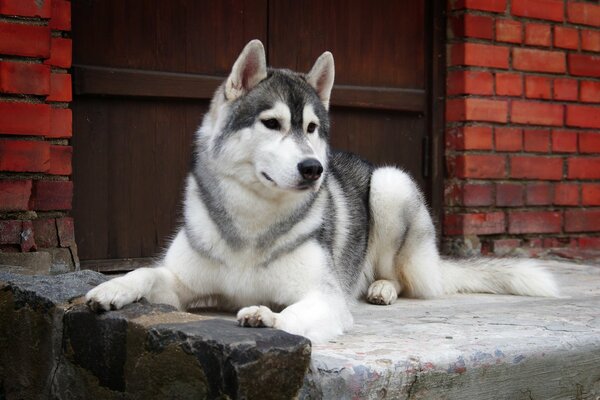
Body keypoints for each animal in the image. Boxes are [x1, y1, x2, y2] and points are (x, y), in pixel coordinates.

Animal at [85, 39, 556, 342]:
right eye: (271, 123)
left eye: (312, 128)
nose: (314, 168)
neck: (254, 222)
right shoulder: (182, 281)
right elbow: (148, 273)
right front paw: (110, 290)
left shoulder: (325, 297)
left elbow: (294, 312)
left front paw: (266, 316)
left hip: (391, 185)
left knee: (403, 278)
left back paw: (382, 288)